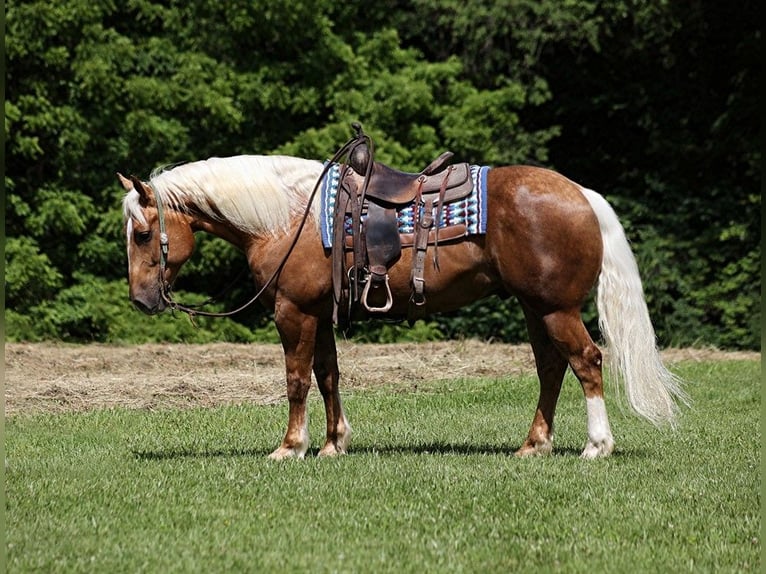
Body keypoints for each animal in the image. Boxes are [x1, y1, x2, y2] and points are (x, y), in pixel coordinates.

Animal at [120, 151, 688, 462]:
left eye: (143, 233)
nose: (141, 300)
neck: (288, 216)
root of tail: (582, 194)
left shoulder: (293, 311)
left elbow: (297, 380)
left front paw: (290, 446)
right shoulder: (319, 313)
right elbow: (328, 375)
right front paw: (333, 444)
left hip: (555, 309)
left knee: (587, 361)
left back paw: (597, 445)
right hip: (535, 308)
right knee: (552, 368)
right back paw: (533, 444)